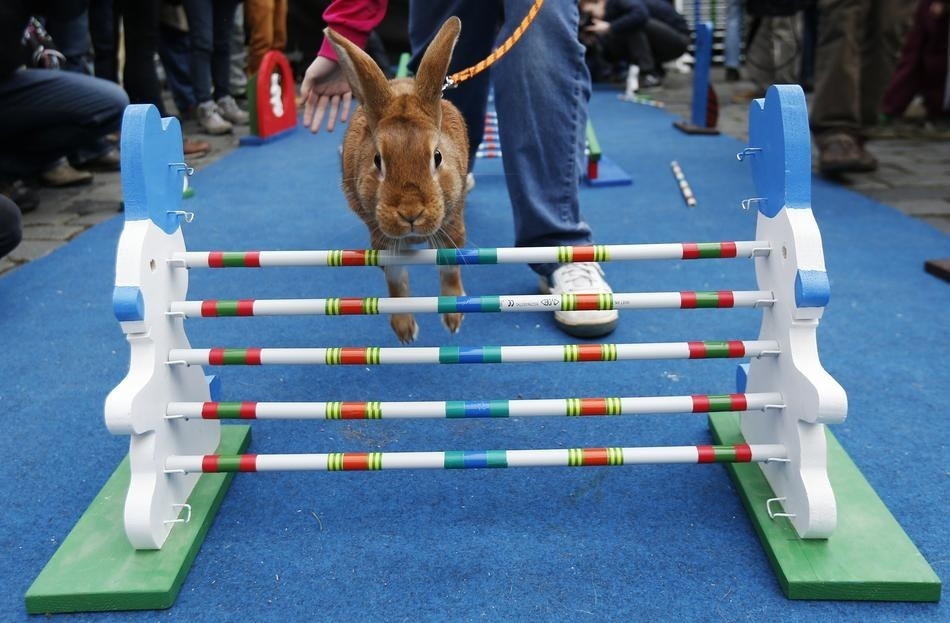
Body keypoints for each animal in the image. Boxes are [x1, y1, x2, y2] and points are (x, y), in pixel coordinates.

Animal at [328, 18, 472, 346]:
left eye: (437, 157)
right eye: (377, 160)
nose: (410, 212)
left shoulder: (453, 225)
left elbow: (450, 270)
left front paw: (453, 317)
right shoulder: (383, 241)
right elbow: (396, 283)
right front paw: (405, 330)